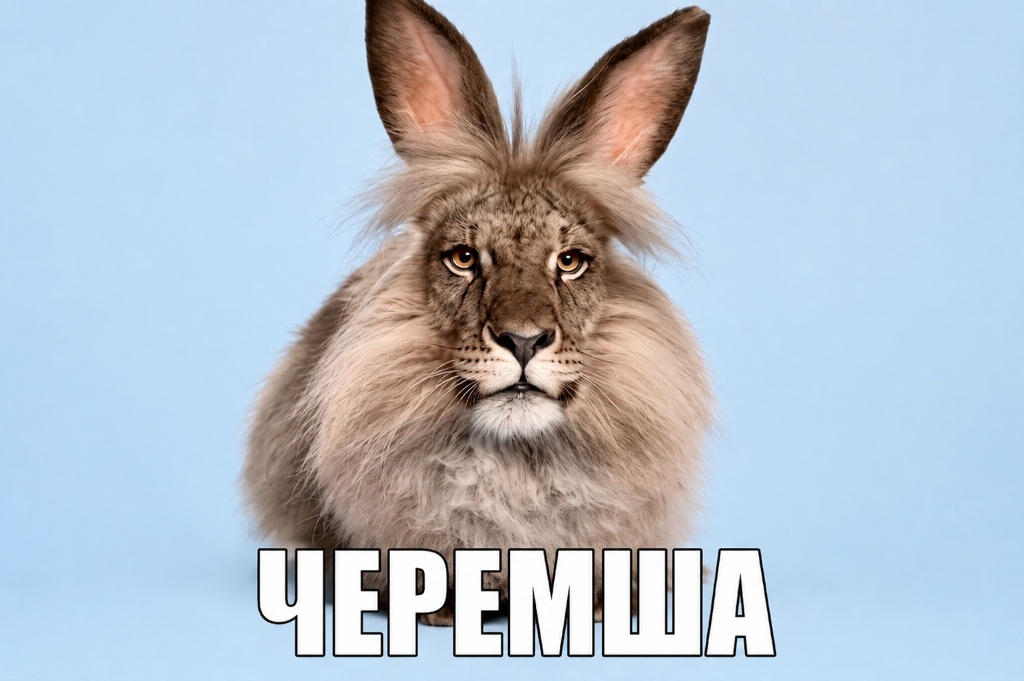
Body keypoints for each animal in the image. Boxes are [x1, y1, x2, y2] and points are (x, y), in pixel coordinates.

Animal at [243, 0, 713, 626]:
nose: (523, 340)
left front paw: (597, 609)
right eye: (462, 258)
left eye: (571, 262)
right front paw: (438, 612)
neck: (514, 459)